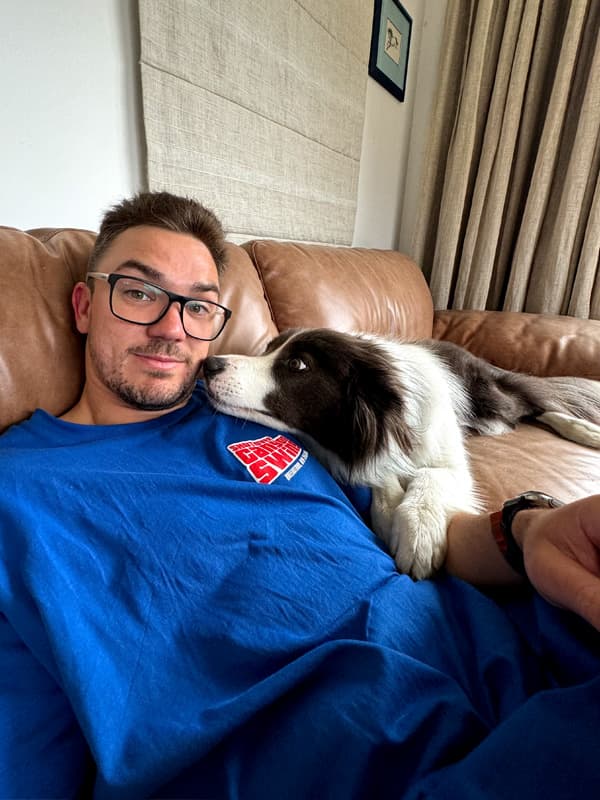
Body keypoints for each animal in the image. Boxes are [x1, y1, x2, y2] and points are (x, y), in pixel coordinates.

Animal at [203, 328, 600, 580]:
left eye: (298, 365)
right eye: (268, 348)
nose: (209, 365)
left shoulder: (450, 460)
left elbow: (431, 474)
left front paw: (418, 531)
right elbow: (379, 476)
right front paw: (389, 510)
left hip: (491, 397)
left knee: (536, 405)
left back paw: (583, 430)